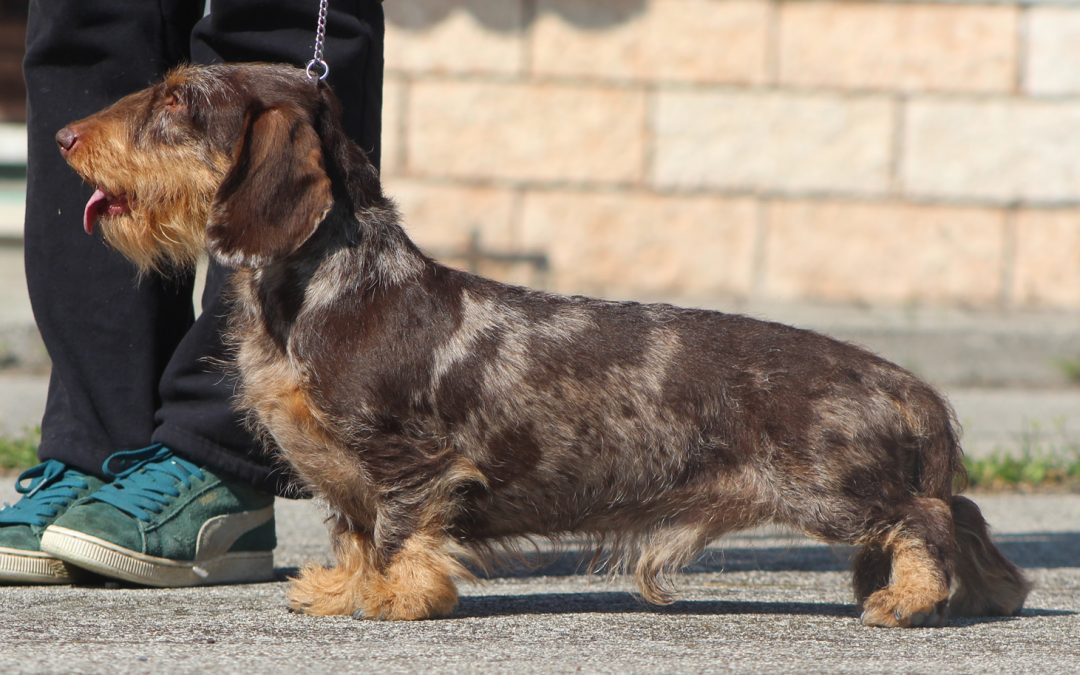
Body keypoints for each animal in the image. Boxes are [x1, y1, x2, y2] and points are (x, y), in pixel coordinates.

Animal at [56, 60, 1028, 622]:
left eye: (178, 100)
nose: (62, 135)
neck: (336, 285)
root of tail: (909, 383)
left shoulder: (409, 458)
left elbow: (400, 529)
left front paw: (395, 596)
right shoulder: (341, 469)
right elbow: (351, 529)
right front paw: (341, 587)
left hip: (833, 490)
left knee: (929, 515)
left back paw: (907, 598)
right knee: (961, 516)